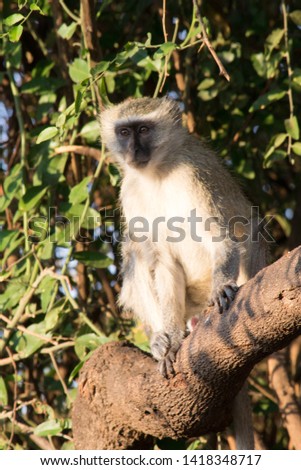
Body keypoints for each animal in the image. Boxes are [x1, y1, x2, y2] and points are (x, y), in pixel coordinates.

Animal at [99, 96, 266, 452]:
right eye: (124, 132)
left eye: (144, 130)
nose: (133, 150)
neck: (157, 173)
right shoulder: (129, 190)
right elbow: (162, 261)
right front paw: (171, 341)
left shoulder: (193, 173)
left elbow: (221, 235)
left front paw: (222, 288)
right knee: (137, 251)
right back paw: (162, 339)